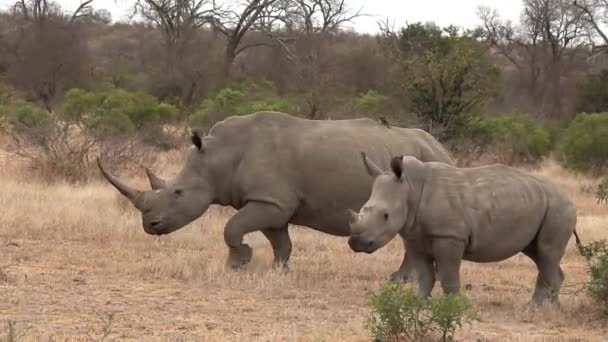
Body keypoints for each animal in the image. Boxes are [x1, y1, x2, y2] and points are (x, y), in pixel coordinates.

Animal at [346, 152, 580, 304]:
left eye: (386, 216)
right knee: (538, 253)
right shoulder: (414, 236)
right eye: (362, 208)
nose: (355, 243)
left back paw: (542, 309)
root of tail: (569, 197)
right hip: (540, 204)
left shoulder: (449, 235)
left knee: (547, 252)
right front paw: (419, 302)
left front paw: (453, 305)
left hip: (559, 208)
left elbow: (448, 274)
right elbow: (424, 275)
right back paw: (542, 306)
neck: (411, 188)